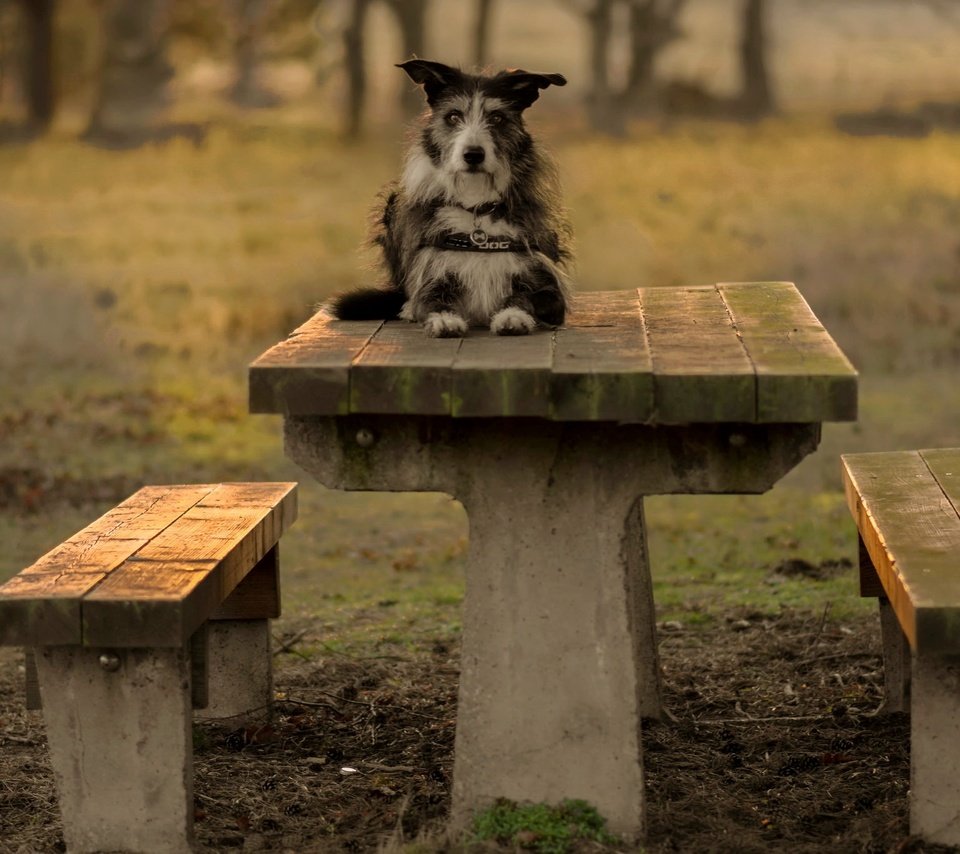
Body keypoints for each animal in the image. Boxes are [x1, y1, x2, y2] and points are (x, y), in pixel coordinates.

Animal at [330, 56, 568, 336]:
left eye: (497, 118)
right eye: (454, 116)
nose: (473, 154)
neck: (476, 205)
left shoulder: (546, 282)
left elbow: (531, 297)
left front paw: (513, 315)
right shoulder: (432, 270)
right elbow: (428, 297)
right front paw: (443, 318)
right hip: (392, 204)